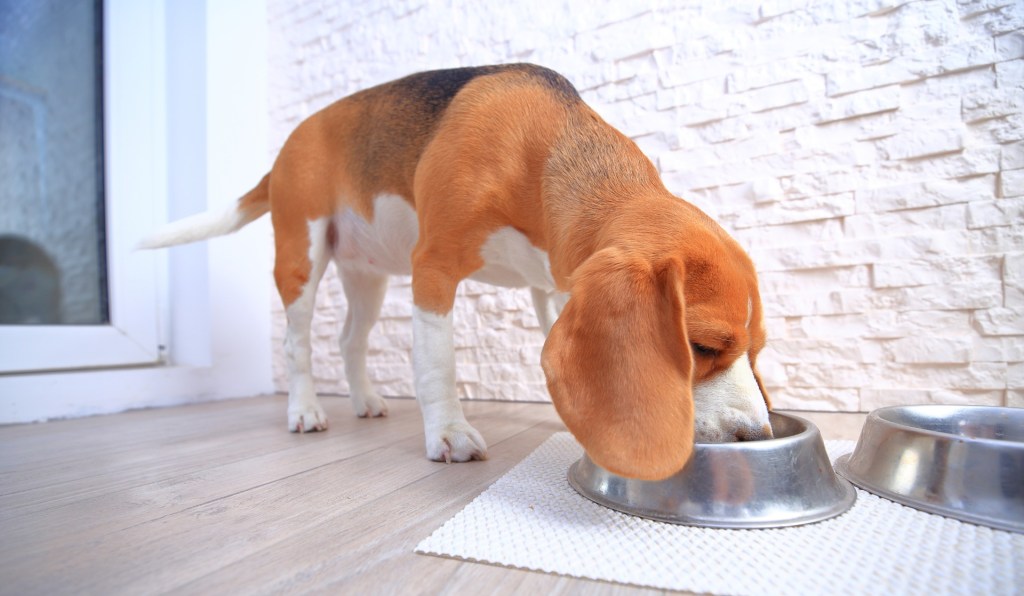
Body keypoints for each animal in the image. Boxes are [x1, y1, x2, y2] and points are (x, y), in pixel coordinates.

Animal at [140, 64, 770, 481]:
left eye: (758, 349)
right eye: (700, 346)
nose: (757, 436)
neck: (544, 152)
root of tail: (286, 147)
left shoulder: (553, 287)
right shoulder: (434, 268)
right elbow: (438, 365)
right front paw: (448, 433)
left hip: (367, 276)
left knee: (349, 340)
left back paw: (364, 401)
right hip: (302, 256)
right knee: (298, 344)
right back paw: (305, 411)